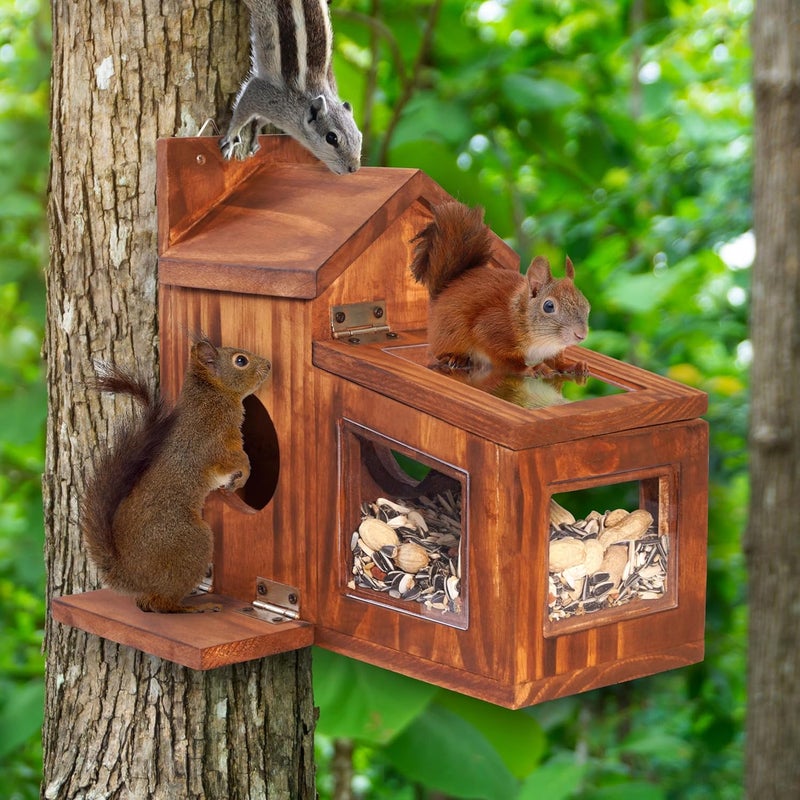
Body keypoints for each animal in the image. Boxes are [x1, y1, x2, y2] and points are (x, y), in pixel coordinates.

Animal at [80, 338, 271, 613]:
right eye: (240, 360)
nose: (268, 364)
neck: (211, 396)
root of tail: (131, 575)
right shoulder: (216, 443)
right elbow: (237, 460)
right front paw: (243, 475)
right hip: (191, 543)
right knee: (161, 604)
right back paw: (195, 608)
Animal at [220, 0, 362, 175]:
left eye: (359, 137)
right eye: (331, 138)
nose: (354, 168)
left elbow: (261, 120)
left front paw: (257, 131)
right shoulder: (264, 95)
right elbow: (242, 111)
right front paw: (231, 138)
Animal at [410, 201, 591, 376]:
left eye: (587, 306)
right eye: (548, 306)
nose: (581, 335)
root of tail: (444, 290)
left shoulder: (551, 350)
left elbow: (556, 361)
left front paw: (572, 365)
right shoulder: (491, 329)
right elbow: (506, 359)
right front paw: (532, 369)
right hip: (451, 333)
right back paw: (456, 357)